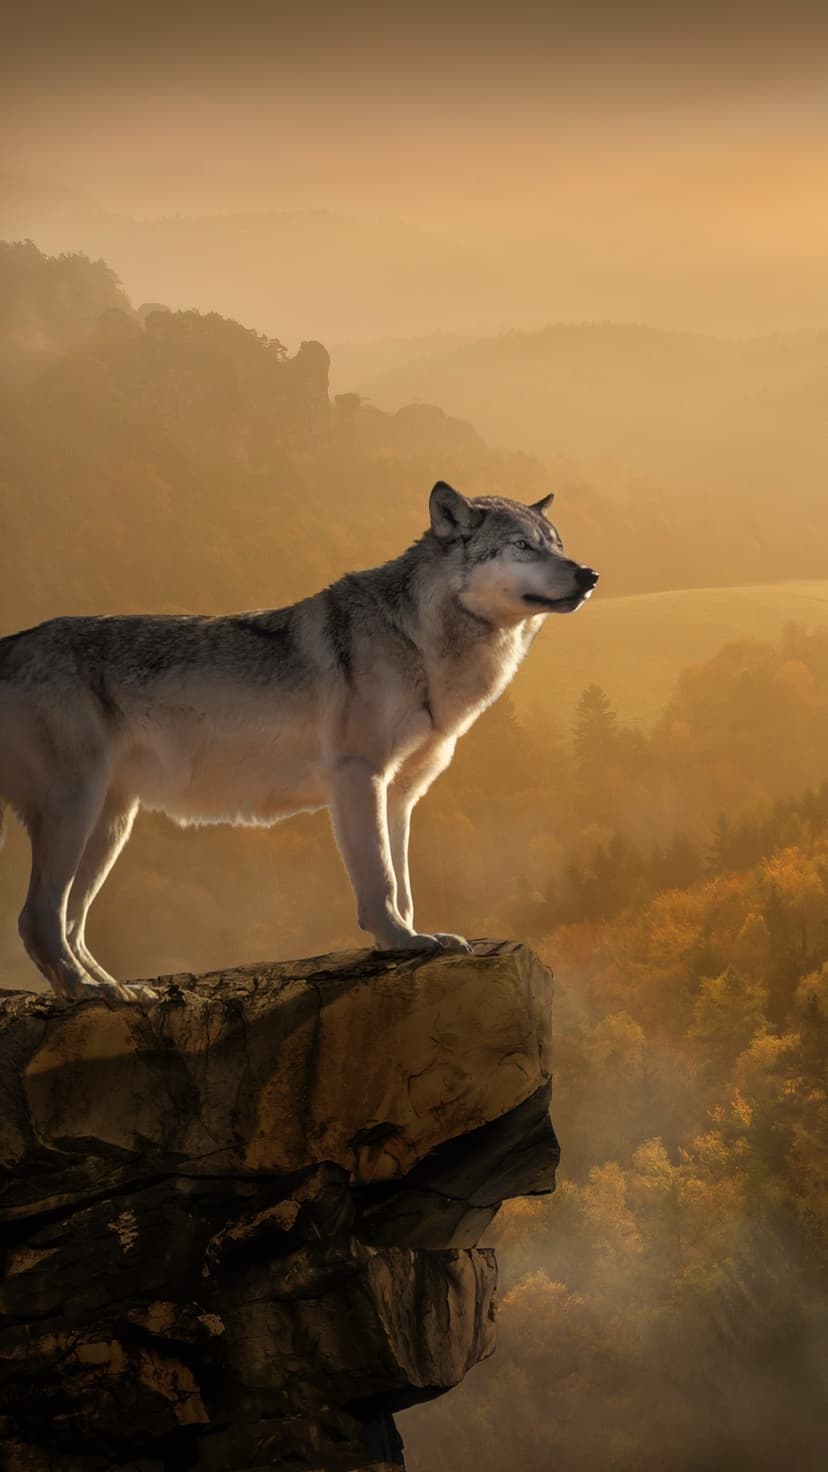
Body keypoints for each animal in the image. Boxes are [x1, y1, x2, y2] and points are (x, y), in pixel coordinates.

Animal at [0, 482, 597, 1001]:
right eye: (521, 546)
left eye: (558, 544)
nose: (590, 574)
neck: (419, 641)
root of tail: (11, 643)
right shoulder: (358, 778)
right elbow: (380, 880)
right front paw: (400, 941)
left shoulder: (400, 795)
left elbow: (404, 884)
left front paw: (413, 938)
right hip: (77, 810)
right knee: (38, 918)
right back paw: (90, 993)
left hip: (110, 825)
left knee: (70, 923)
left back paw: (115, 990)